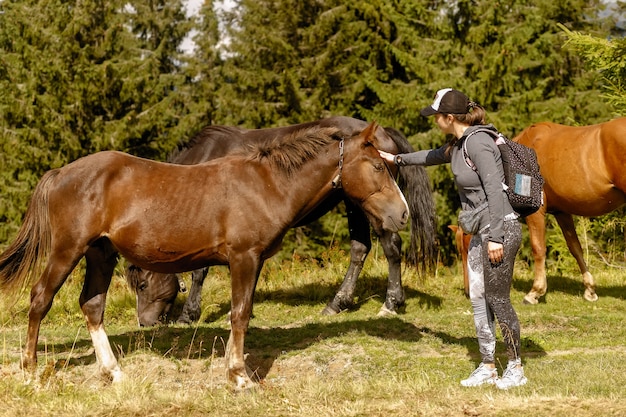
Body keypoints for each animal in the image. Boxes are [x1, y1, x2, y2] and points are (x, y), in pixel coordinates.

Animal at [123, 116, 434, 324]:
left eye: (142, 285)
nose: (144, 323)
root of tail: (381, 130)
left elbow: (200, 272)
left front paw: (189, 315)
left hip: (369, 205)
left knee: (390, 245)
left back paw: (390, 302)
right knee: (360, 248)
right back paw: (338, 303)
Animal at [512, 117, 624, 302]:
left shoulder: (536, 211)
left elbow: (538, 247)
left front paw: (535, 291)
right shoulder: (562, 212)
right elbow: (575, 247)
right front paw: (589, 290)